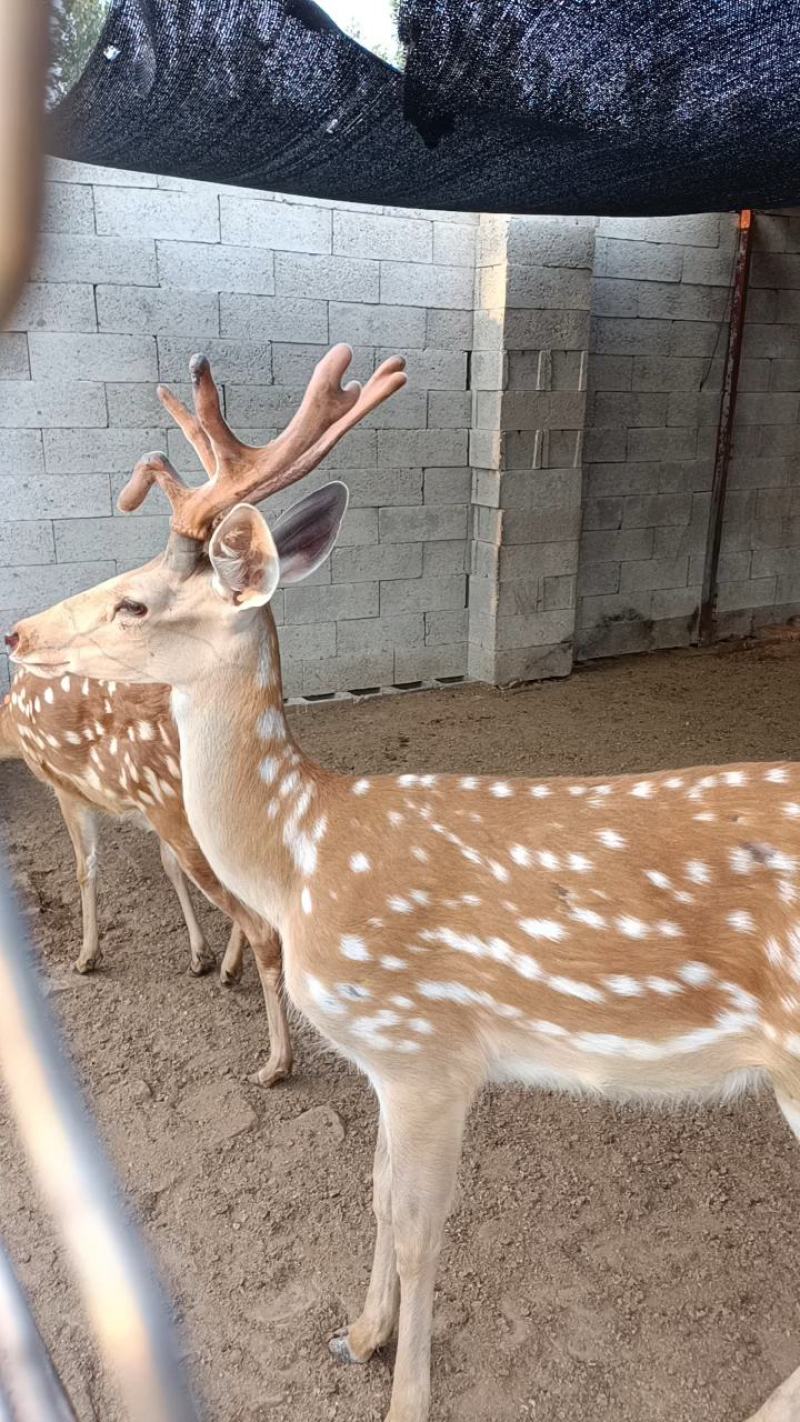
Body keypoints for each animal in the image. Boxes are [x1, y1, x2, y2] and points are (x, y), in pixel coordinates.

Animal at [0, 655, 293, 1088]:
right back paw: (229, 971)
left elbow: (85, 867)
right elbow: (168, 867)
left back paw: (275, 1064)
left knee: (264, 926)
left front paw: (86, 956)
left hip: (175, 803)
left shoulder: (68, 788)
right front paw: (200, 956)